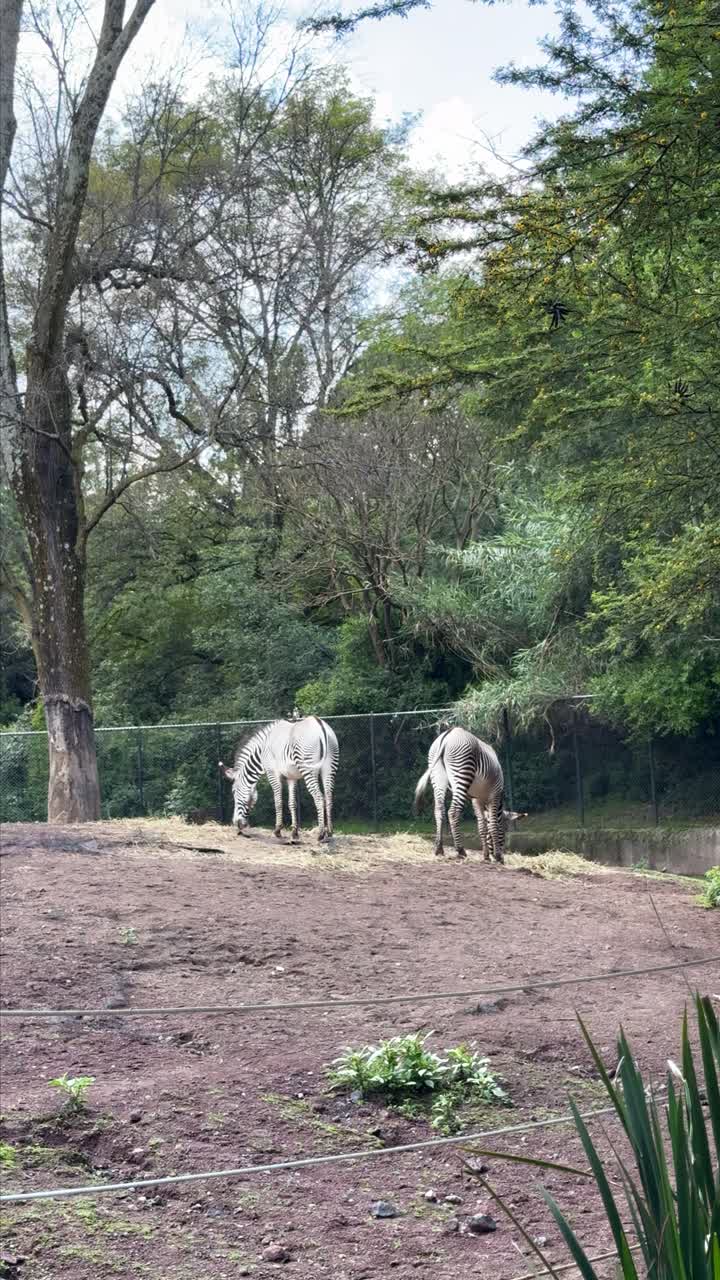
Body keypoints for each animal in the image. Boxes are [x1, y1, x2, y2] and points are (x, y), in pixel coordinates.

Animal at [414, 726, 518, 861]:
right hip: (462, 772)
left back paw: (439, 848)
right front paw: (497, 856)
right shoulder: (494, 795)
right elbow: (492, 824)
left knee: (439, 810)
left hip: (437, 774)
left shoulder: (476, 800)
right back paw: (460, 850)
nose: (503, 855)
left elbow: (482, 826)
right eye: (504, 831)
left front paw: (486, 855)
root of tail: (448, 735)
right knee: (453, 812)